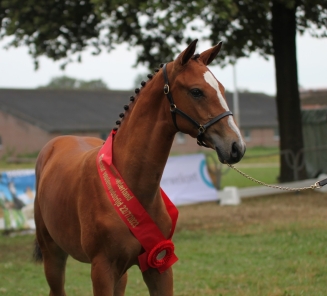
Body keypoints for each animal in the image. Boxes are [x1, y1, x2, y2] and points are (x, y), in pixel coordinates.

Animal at [34, 40, 246, 296]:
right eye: (196, 91)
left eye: (222, 89)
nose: (236, 147)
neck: (131, 183)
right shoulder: (102, 270)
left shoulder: (158, 265)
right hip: (53, 256)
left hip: (120, 274)